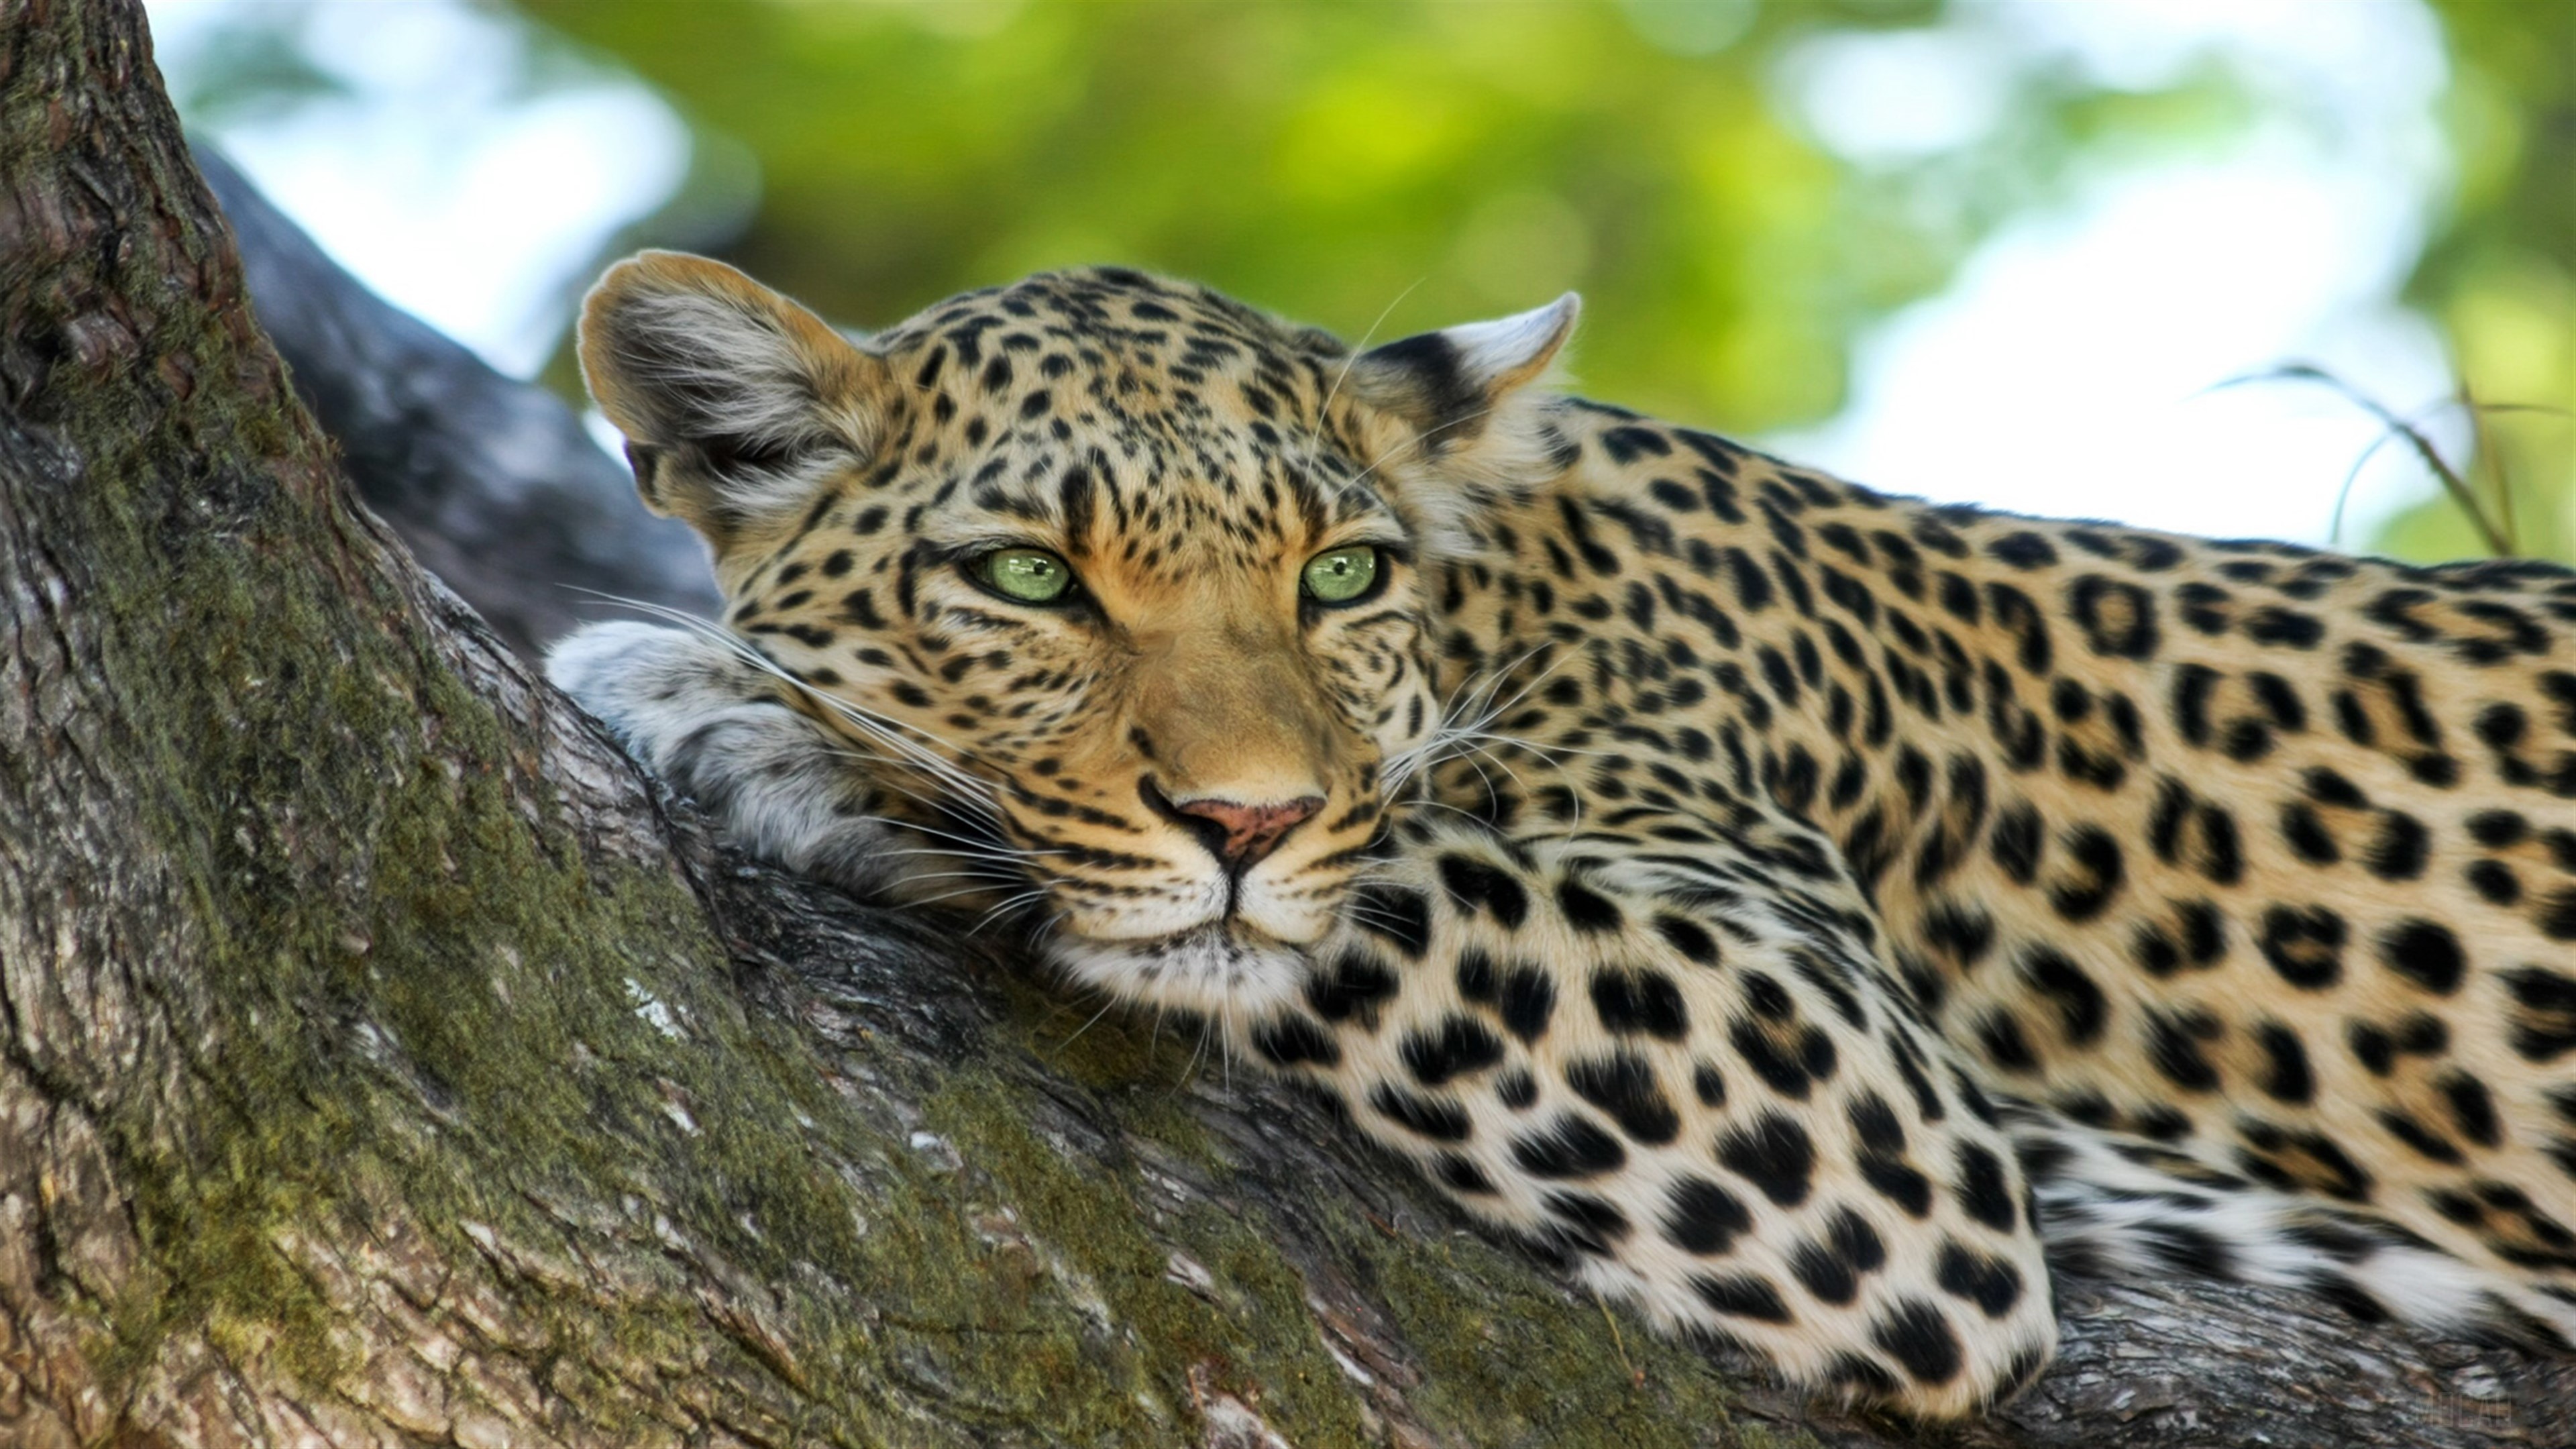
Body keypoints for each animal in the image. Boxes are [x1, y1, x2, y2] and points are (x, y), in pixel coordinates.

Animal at [546, 250, 2576, 1418]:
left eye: (1338, 575)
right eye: (1029, 578)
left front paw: (756, 715)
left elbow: (1389, 885)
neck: (1504, 595)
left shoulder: (1862, 1106)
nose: (1245, 813)